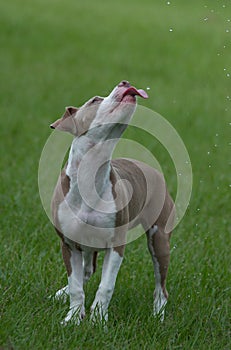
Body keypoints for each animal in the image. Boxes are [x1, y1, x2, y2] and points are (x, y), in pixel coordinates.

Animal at [49, 80, 174, 324]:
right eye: (95, 100)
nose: (126, 83)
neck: (91, 174)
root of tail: (152, 170)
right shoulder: (68, 244)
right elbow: (76, 285)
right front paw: (73, 318)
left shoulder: (116, 244)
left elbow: (106, 285)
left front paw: (98, 319)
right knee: (87, 270)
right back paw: (60, 293)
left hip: (160, 239)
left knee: (161, 287)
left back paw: (158, 316)